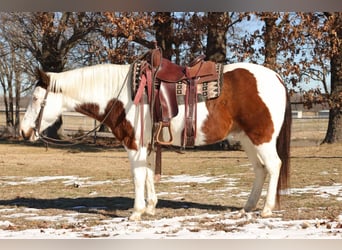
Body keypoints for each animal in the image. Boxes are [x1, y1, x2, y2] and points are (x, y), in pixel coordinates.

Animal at [19, 62, 292, 221]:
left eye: (35, 98)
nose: (23, 131)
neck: (123, 95)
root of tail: (277, 77)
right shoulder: (146, 145)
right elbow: (149, 173)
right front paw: (150, 207)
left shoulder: (134, 144)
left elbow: (138, 176)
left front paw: (136, 212)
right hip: (247, 139)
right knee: (260, 169)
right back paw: (247, 207)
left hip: (262, 138)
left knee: (274, 166)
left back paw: (266, 209)